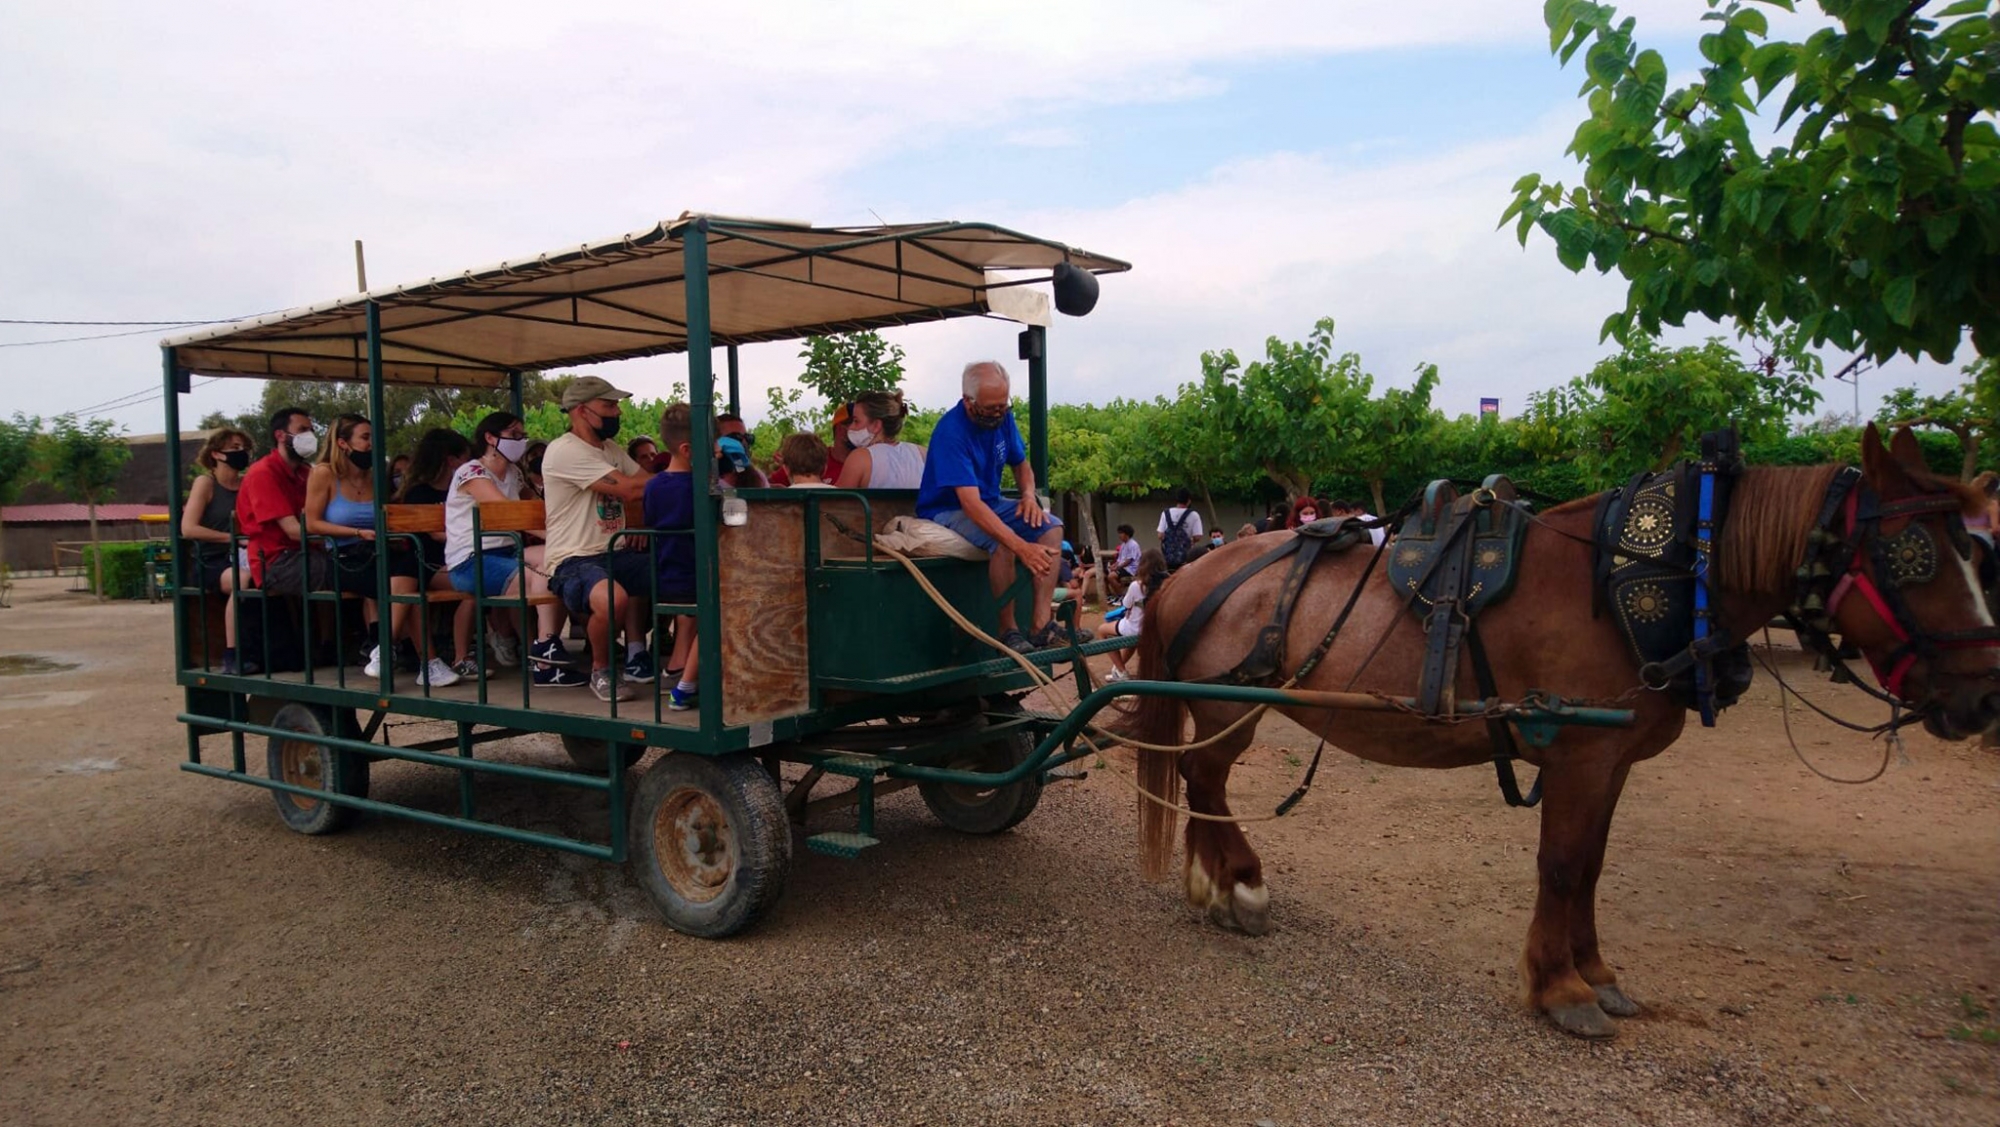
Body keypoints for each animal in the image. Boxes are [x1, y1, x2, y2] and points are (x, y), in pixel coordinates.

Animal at [1128, 425, 2000, 1039]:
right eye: (1913, 557)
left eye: (1973, 550)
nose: (1984, 695)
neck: (1632, 584)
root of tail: (1190, 570)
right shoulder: (1583, 753)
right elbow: (1562, 863)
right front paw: (1561, 987)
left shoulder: (1611, 760)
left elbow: (1591, 867)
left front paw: (1596, 971)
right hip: (1225, 704)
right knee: (1207, 780)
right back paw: (1239, 882)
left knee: (1204, 782)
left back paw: (1215, 882)